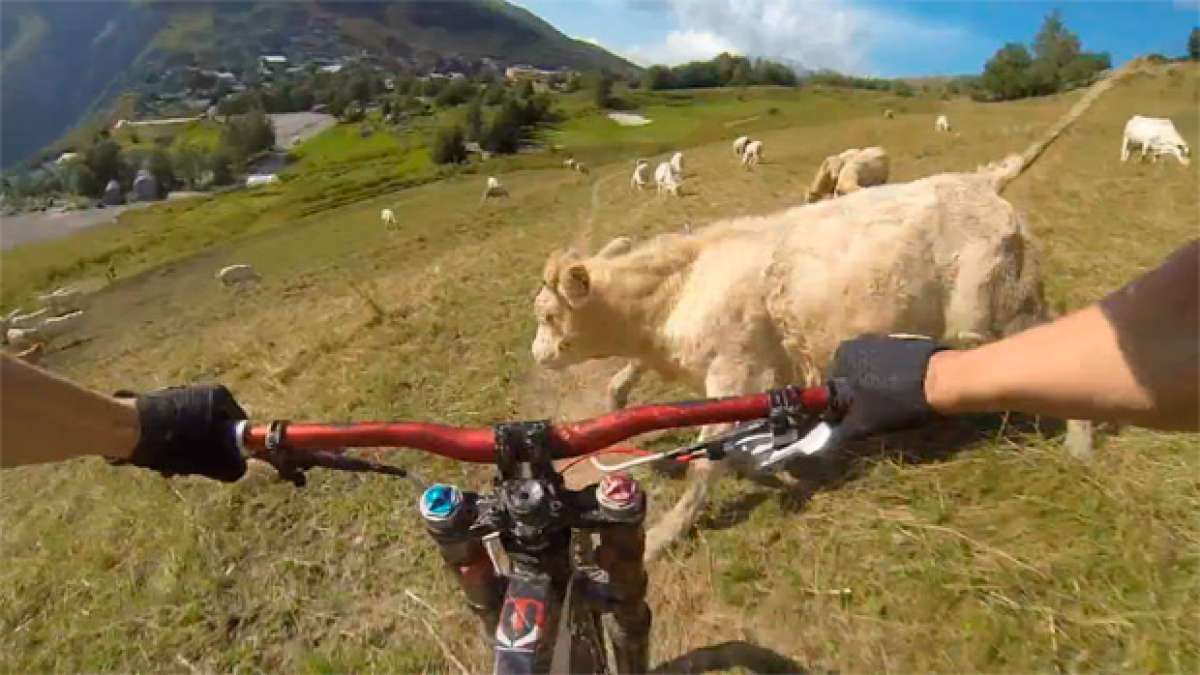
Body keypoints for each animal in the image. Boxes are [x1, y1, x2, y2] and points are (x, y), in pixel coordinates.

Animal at [535, 168, 1051, 557]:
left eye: (548, 315)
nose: (537, 354)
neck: (684, 286)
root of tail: (980, 180)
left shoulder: (734, 371)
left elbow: (706, 464)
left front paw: (664, 535)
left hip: (998, 311)